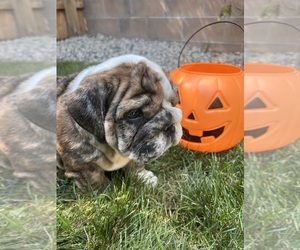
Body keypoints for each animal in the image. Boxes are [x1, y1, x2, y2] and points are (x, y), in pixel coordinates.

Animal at [56, 54, 183, 191]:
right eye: (134, 113)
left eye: (174, 103)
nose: (170, 126)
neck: (111, 149)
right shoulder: (82, 166)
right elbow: (94, 179)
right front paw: (105, 192)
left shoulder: (136, 149)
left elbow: (135, 162)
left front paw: (143, 178)